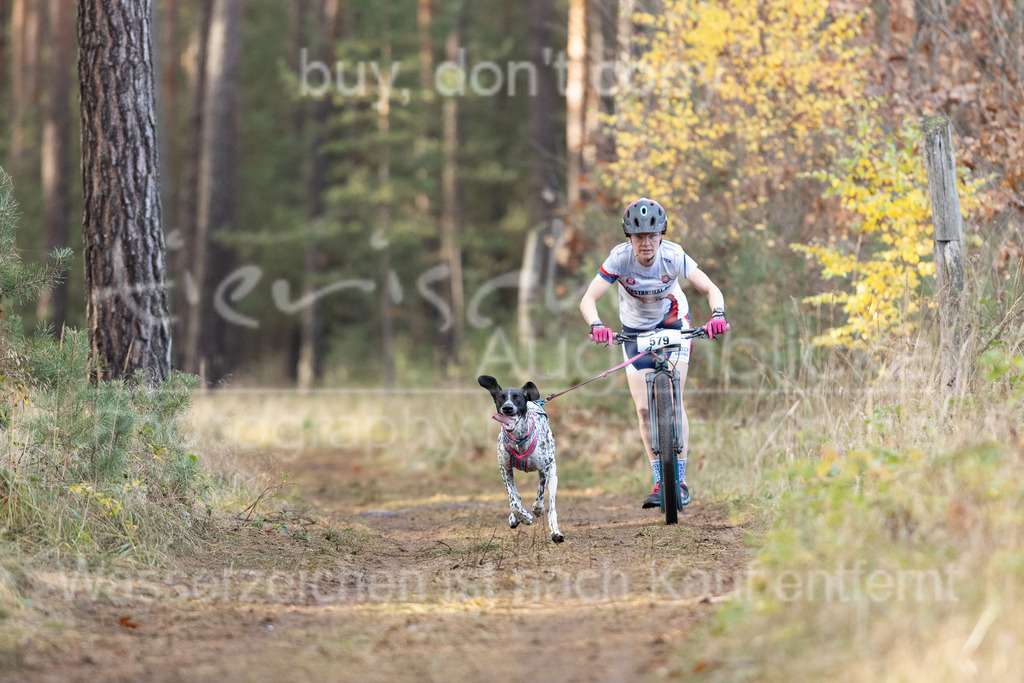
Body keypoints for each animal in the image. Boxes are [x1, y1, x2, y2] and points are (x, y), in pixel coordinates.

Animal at [477, 374, 565, 544]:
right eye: (501, 397)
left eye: (517, 397)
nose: (507, 408)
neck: (518, 440)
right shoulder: (505, 468)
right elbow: (513, 501)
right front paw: (523, 517)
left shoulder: (544, 468)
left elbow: (539, 495)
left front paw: (537, 510)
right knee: (516, 497)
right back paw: (515, 518)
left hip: (553, 475)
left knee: (552, 508)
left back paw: (555, 533)